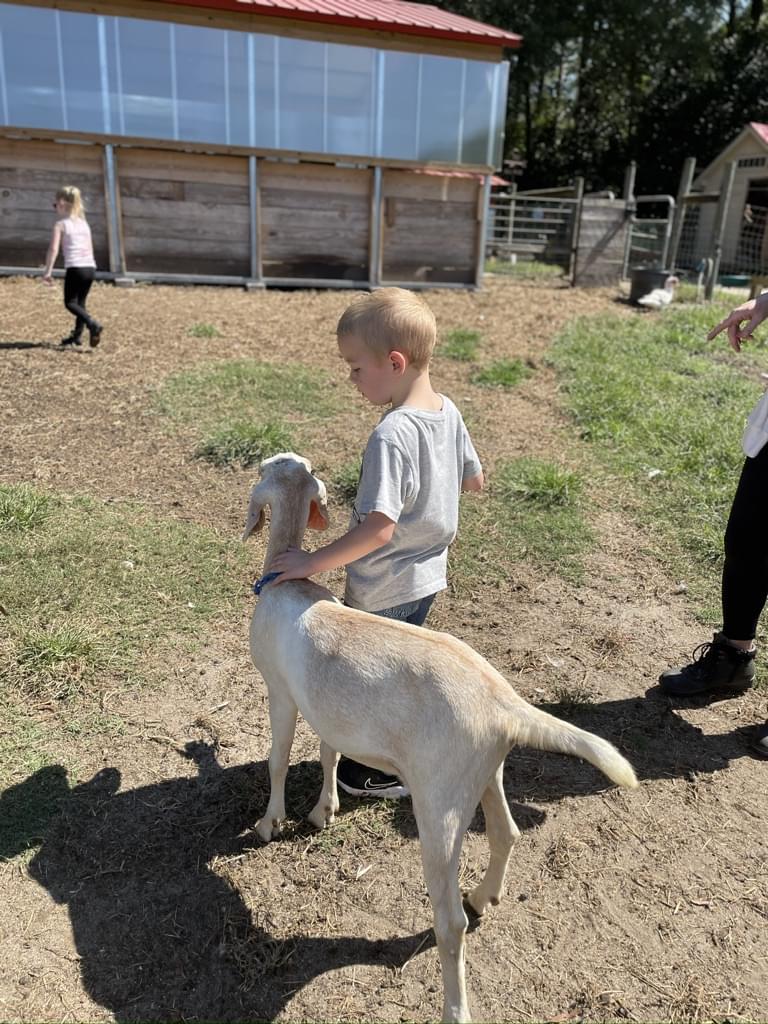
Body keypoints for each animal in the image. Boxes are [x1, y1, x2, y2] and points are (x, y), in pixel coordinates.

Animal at [243, 454, 638, 1024]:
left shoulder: (279, 690)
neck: (286, 584)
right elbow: (328, 752)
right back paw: (484, 896)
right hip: (482, 770)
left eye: (265, 468)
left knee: (451, 922)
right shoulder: (328, 710)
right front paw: (324, 811)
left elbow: (277, 760)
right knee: (507, 833)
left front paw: (269, 824)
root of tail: (506, 704)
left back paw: (455, 1003)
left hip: (439, 803)